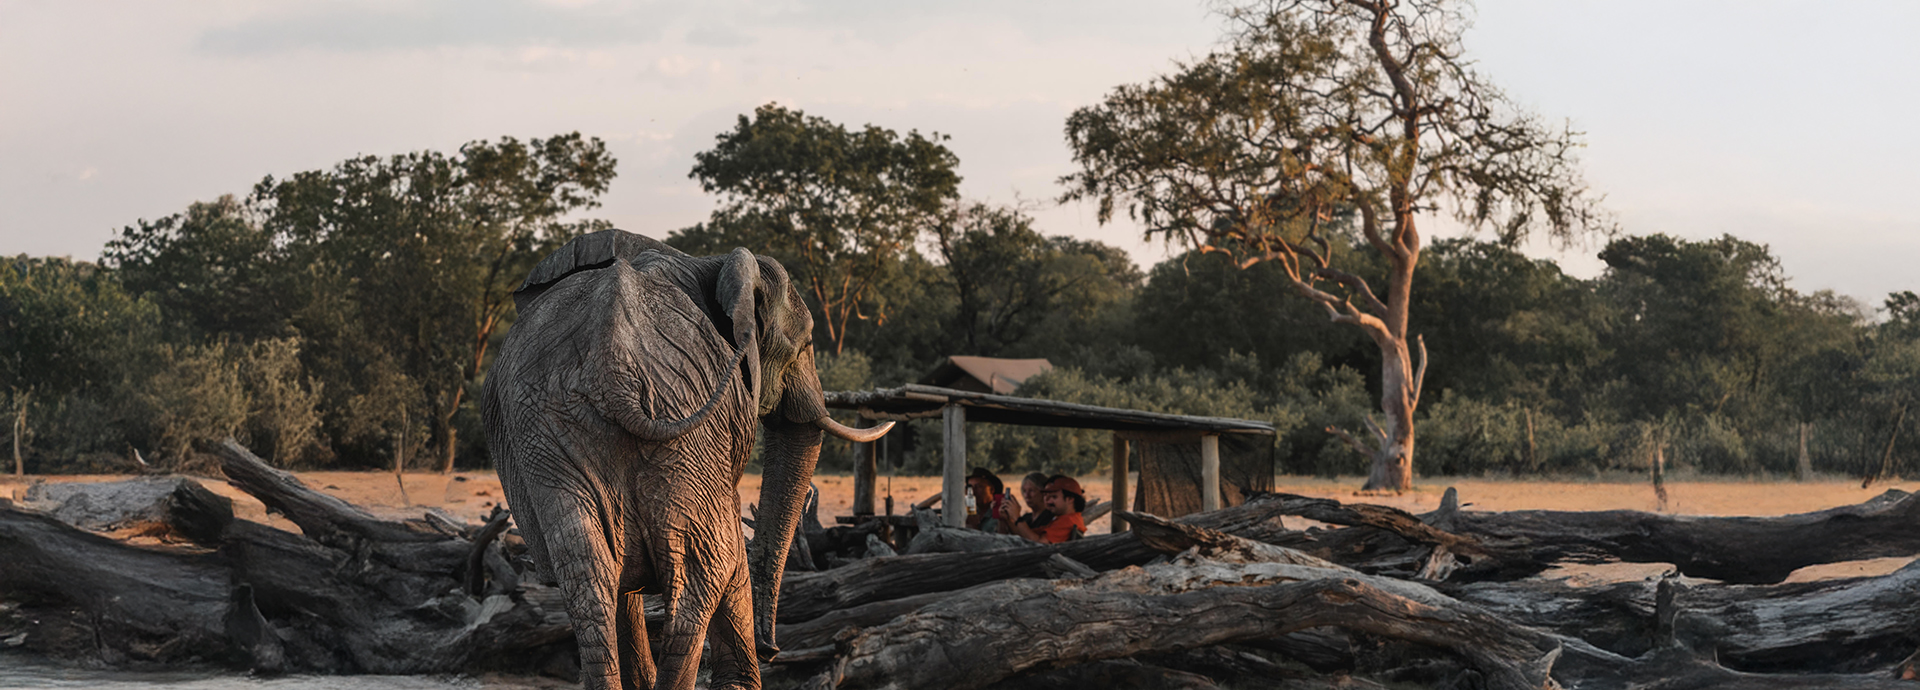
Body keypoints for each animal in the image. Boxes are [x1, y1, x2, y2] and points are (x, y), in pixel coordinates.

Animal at [481, 229, 890, 690]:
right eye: (803, 346)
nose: (772, 648)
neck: (707, 262)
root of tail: (614, 371)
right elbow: (728, 553)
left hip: (554, 436)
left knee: (588, 575)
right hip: (676, 425)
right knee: (706, 570)